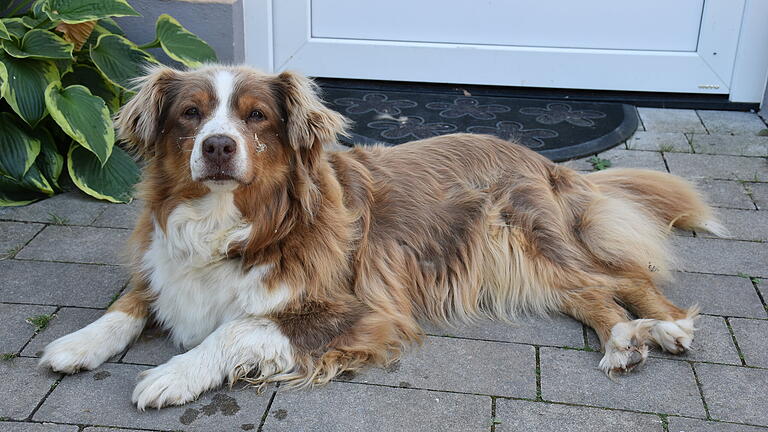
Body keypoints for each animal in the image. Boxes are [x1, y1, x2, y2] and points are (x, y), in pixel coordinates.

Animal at [40, 64, 728, 408]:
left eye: (256, 117)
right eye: (190, 113)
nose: (217, 146)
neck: (232, 223)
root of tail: (538, 156)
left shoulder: (360, 310)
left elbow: (235, 329)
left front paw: (173, 375)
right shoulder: (164, 266)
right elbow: (129, 303)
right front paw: (78, 343)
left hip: (526, 242)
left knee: (620, 276)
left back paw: (662, 327)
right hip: (520, 265)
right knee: (592, 293)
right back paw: (626, 339)